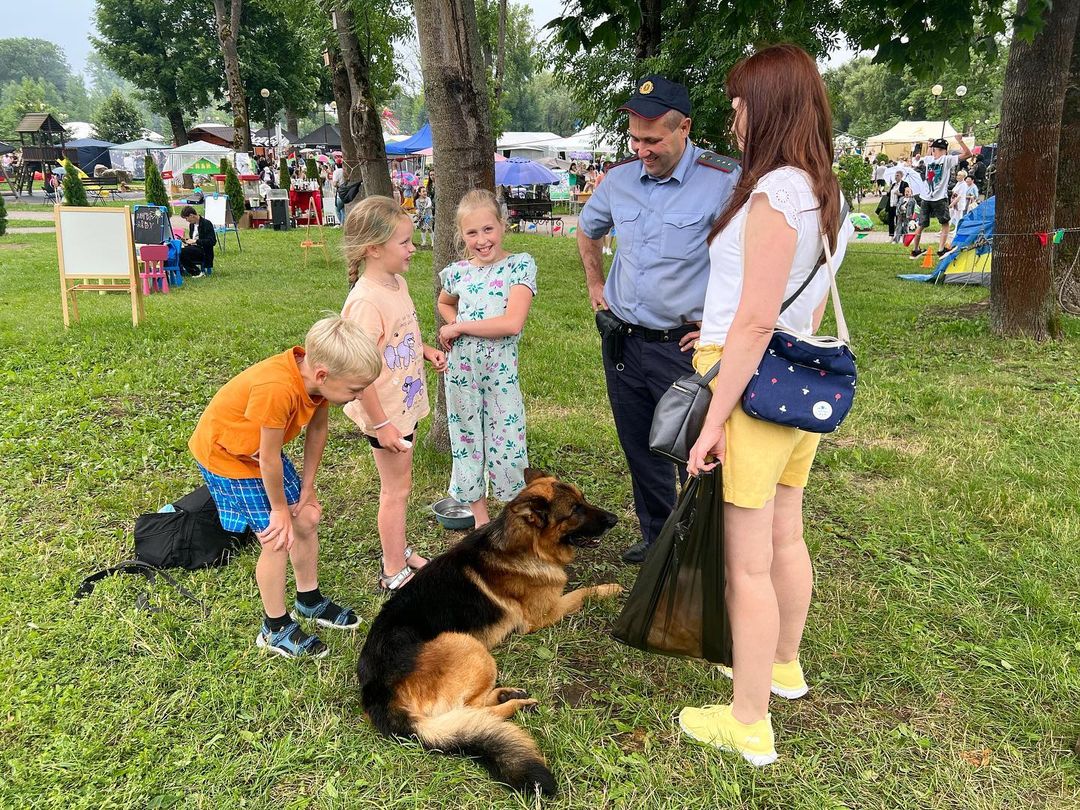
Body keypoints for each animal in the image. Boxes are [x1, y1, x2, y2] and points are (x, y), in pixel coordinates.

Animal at [358, 473, 622, 794]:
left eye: (583, 499)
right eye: (575, 509)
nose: (614, 519)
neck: (523, 545)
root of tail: (376, 691)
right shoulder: (544, 615)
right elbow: (583, 592)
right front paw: (609, 589)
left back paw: (507, 694)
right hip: (469, 646)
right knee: (472, 711)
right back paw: (514, 704)